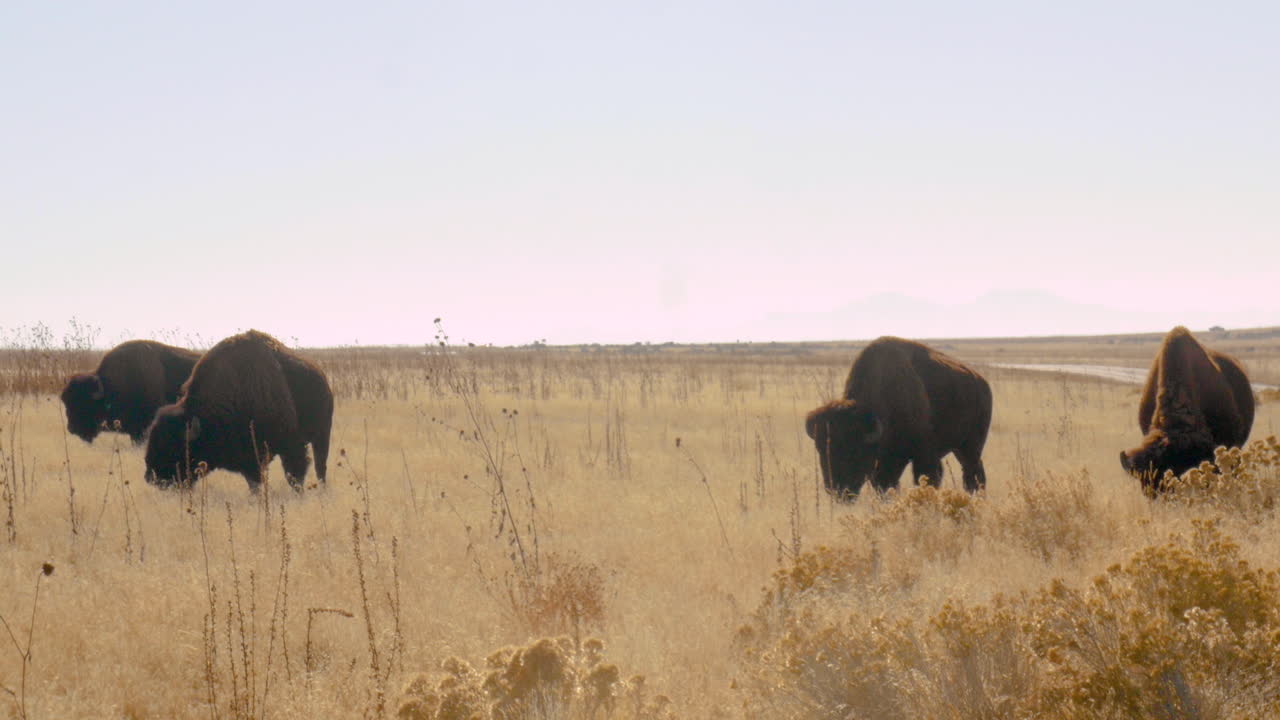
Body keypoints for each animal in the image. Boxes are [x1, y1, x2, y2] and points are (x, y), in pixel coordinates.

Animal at [145, 330, 333, 491]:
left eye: (173, 447)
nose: (151, 477)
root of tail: (321, 376)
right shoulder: (249, 460)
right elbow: (254, 483)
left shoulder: (290, 446)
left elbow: (294, 475)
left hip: (322, 435)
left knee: (320, 465)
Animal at [806, 337, 992, 496]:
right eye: (820, 449)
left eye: (854, 450)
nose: (837, 490)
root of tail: (983, 383)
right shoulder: (887, 463)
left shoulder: (924, 456)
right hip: (960, 448)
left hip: (971, 446)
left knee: (973, 473)